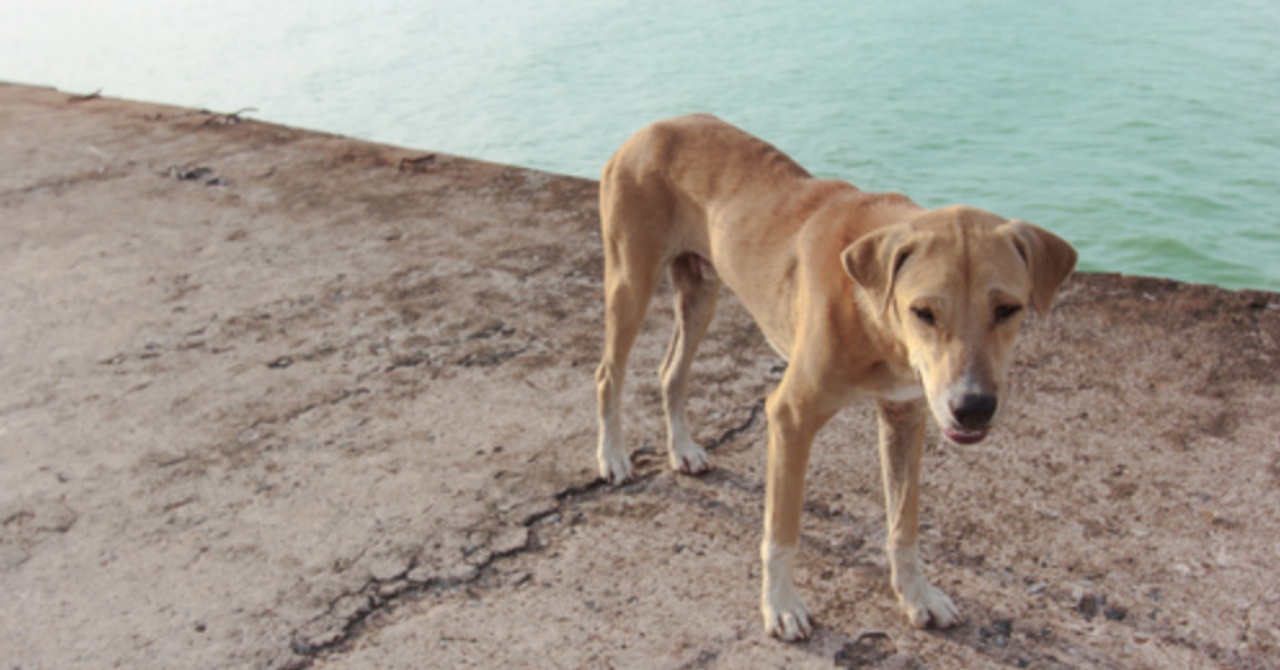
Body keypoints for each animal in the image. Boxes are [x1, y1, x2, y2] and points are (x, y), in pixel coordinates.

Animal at [593, 114, 1075, 640]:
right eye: (923, 312)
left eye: (1008, 309)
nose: (973, 408)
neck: (873, 311)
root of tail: (652, 127)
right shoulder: (790, 418)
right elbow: (782, 530)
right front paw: (781, 605)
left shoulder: (905, 415)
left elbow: (904, 520)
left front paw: (916, 594)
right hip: (630, 283)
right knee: (608, 373)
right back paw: (613, 456)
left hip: (701, 289)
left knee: (672, 371)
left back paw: (681, 448)